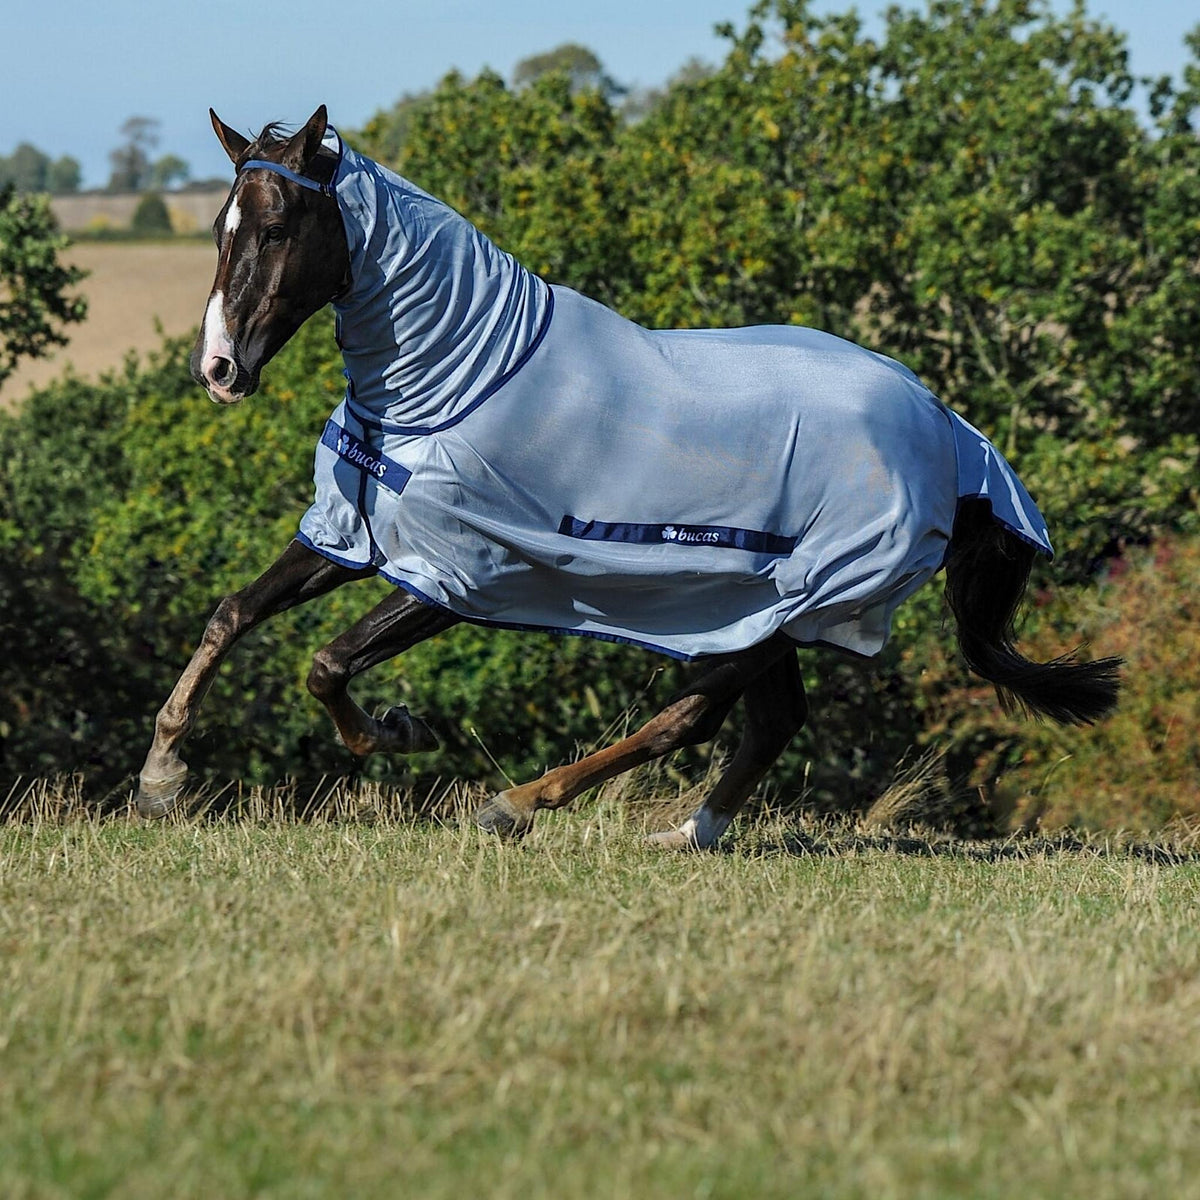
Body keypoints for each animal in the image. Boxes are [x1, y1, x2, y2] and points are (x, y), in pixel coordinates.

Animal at [136, 108, 1118, 849]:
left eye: (275, 229)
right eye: (219, 229)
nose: (219, 370)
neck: (458, 377)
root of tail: (948, 432)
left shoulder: (460, 575)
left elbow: (326, 662)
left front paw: (395, 731)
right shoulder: (351, 537)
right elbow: (234, 613)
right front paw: (162, 775)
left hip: (790, 607)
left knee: (692, 719)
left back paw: (521, 804)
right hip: (760, 609)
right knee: (768, 723)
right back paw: (684, 836)